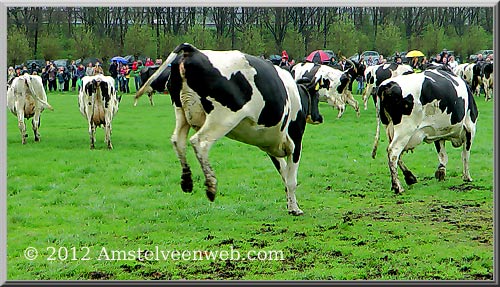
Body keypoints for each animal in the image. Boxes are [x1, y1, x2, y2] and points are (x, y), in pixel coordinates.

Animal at [144, 42, 324, 216]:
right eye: (316, 97)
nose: (319, 117)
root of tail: (193, 51)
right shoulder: (295, 142)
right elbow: (291, 180)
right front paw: (295, 209)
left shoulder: (271, 146)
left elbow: (285, 177)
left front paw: (290, 205)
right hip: (222, 118)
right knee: (200, 142)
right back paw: (211, 186)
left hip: (181, 113)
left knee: (178, 141)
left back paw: (187, 182)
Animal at [374, 67, 478, 195]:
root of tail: (387, 84)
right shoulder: (470, 128)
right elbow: (465, 154)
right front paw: (467, 177)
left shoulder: (438, 133)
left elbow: (442, 155)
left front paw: (441, 172)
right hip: (405, 130)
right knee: (393, 152)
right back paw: (398, 186)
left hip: (390, 128)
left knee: (394, 153)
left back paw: (409, 177)